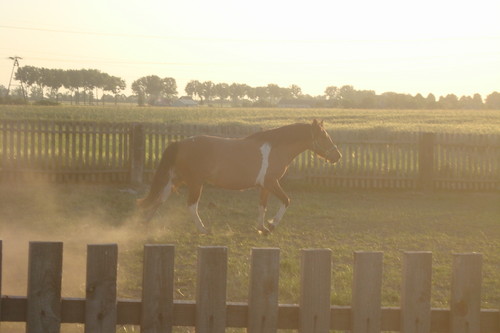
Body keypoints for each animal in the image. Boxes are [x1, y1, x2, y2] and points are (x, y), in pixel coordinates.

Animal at [136, 119, 340, 233]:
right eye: (324, 136)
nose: (337, 156)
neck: (274, 148)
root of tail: (180, 143)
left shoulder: (265, 186)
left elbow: (262, 206)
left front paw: (262, 228)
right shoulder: (272, 182)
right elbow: (286, 200)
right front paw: (272, 225)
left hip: (175, 180)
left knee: (159, 200)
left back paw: (145, 224)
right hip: (195, 183)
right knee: (191, 207)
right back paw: (203, 230)